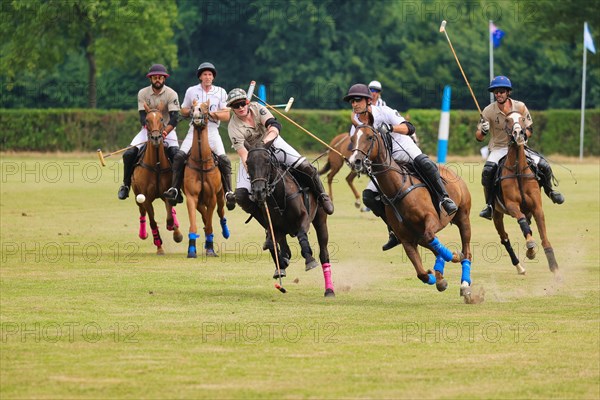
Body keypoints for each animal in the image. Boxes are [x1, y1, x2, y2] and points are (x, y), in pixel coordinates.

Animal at [132, 103, 184, 253]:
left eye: (161, 119)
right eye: (147, 120)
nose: (156, 138)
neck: (156, 165)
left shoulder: (167, 193)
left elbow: (169, 218)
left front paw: (177, 234)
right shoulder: (146, 199)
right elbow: (153, 222)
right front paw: (159, 246)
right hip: (137, 194)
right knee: (141, 211)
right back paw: (143, 234)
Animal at [183, 98, 230, 258]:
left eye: (205, 107)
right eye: (192, 107)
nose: (196, 114)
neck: (201, 162)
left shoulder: (212, 197)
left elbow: (210, 223)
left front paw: (210, 248)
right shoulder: (191, 196)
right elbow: (194, 223)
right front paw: (192, 249)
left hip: (220, 196)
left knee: (221, 213)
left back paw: (225, 231)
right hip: (199, 200)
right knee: (204, 215)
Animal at [245, 140, 338, 296]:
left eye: (267, 160)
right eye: (247, 162)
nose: (258, 192)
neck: (279, 195)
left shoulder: (304, 218)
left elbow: (302, 235)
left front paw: (309, 259)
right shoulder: (274, 227)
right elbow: (270, 244)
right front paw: (282, 264)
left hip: (321, 221)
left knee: (324, 253)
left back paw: (329, 290)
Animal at [346, 114, 474, 298]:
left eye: (370, 137)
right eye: (352, 139)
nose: (354, 161)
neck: (398, 188)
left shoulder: (431, 219)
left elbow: (434, 240)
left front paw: (454, 257)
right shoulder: (407, 239)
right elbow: (421, 273)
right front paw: (436, 277)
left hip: (463, 217)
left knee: (467, 251)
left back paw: (464, 283)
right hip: (419, 235)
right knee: (434, 246)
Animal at [490, 110, 560, 278]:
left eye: (522, 118)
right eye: (507, 120)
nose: (518, 134)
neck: (518, 171)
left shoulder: (537, 208)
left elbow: (543, 236)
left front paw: (553, 265)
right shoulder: (511, 205)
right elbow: (522, 224)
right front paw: (530, 246)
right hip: (497, 214)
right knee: (505, 238)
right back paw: (520, 267)